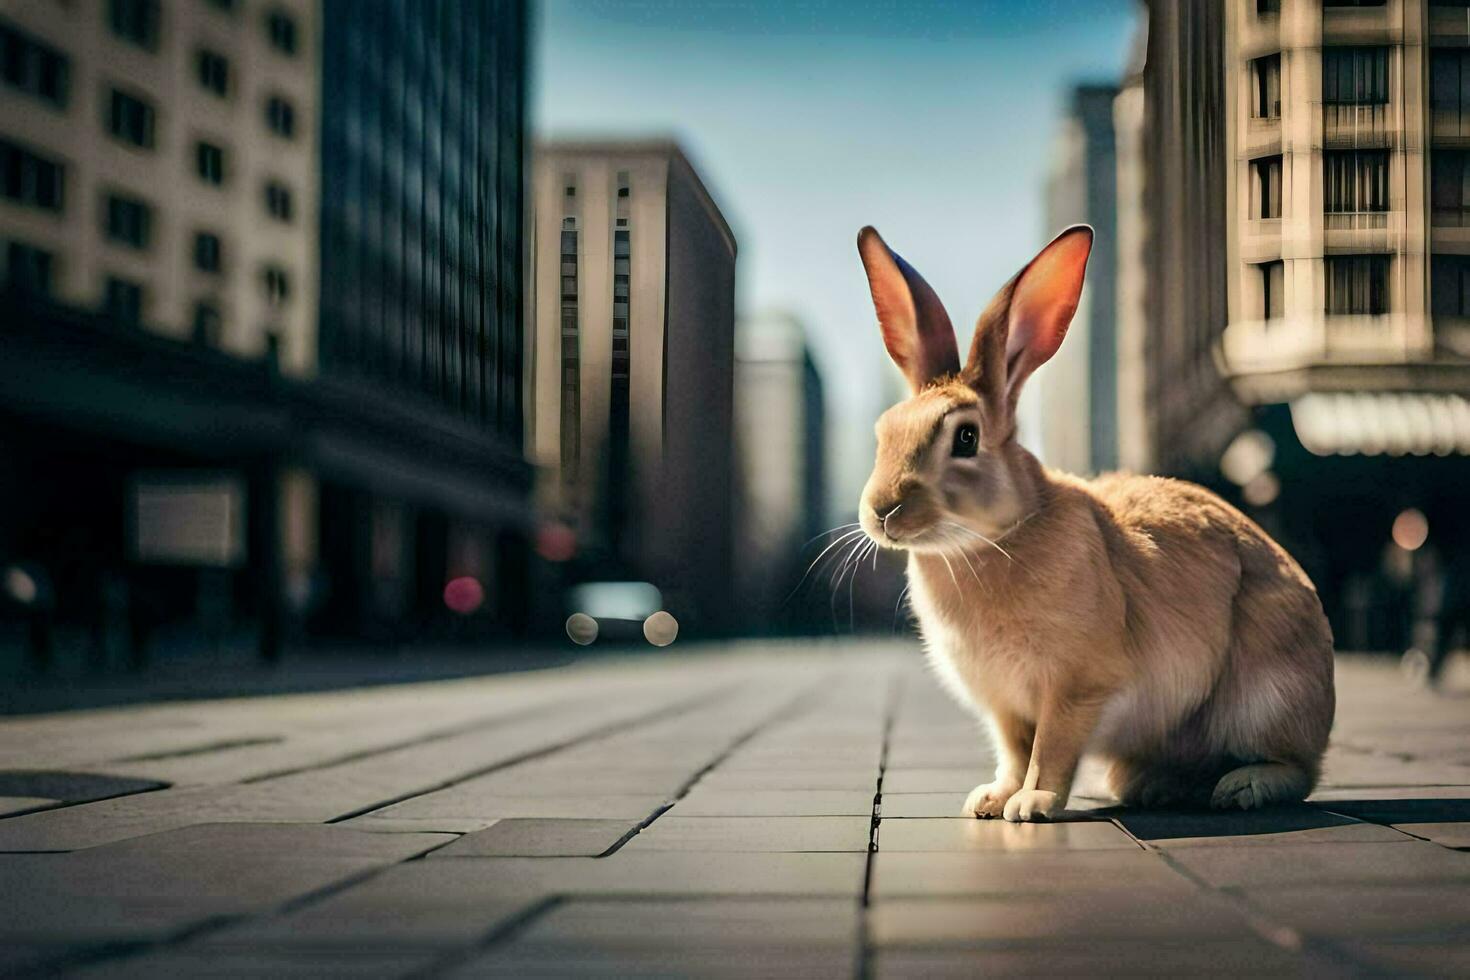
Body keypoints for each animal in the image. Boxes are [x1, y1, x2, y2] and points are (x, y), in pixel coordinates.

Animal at [858, 221, 1340, 822]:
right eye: (883, 431)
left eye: (966, 438)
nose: (882, 511)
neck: (997, 538)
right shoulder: (1006, 707)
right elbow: (1014, 752)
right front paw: (990, 801)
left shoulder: (1076, 687)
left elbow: (1051, 750)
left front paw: (1031, 806)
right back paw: (1153, 788)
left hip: (1269, 695)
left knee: (1298, 769)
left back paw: (1242, 788)